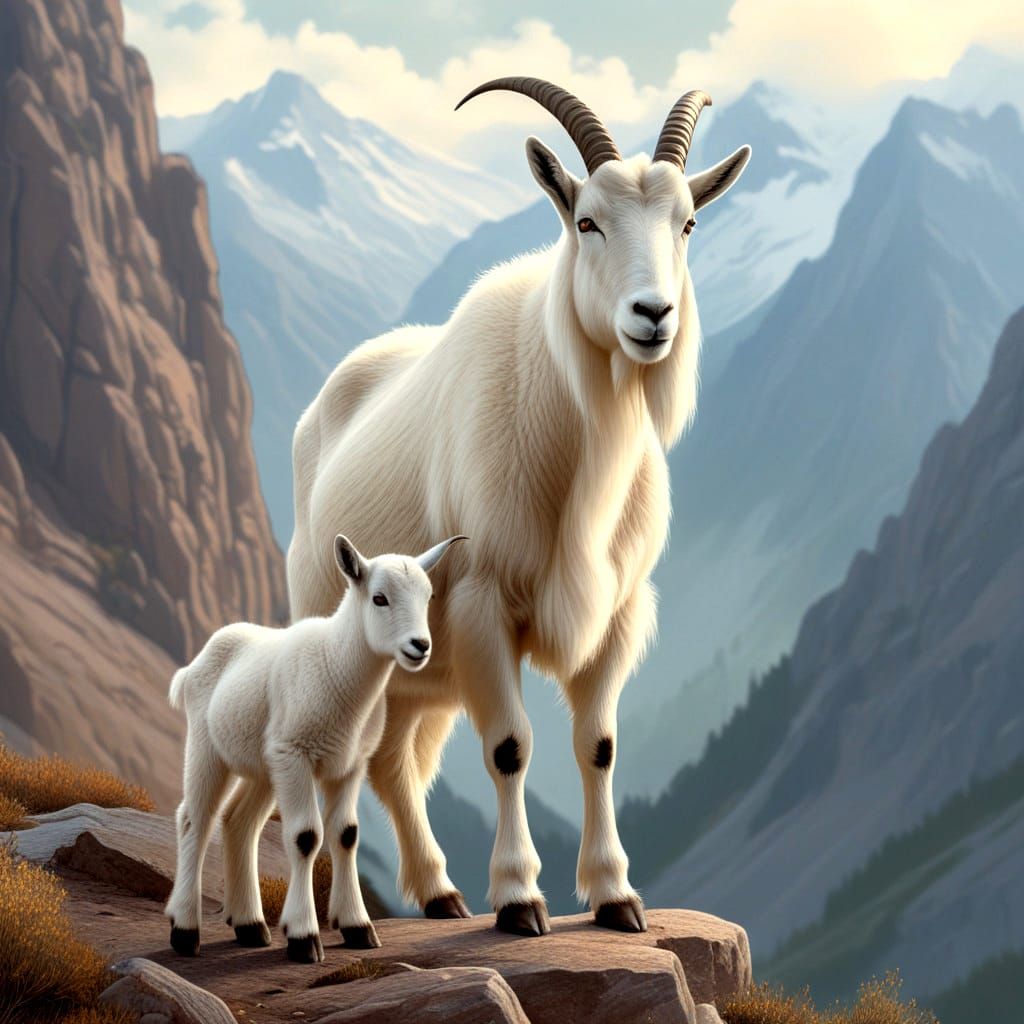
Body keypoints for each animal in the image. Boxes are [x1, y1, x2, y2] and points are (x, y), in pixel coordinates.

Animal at [165, 534, 465, 962]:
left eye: (428, 596)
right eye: (379, 598)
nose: (420, 646)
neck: (336, 663)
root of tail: (193, 665)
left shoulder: (350, 764)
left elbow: (346, 834)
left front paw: (358, 928)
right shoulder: (296, 756)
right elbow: (306, 837)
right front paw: (304, 937)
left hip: (264, 764)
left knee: (239, 822)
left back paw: (250, 926)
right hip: (209, 748)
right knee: (195, 819)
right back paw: (185, 930)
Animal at [287, 78, 751, 936]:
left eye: (688, 223)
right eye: (586, 220)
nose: (653, 316)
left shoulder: (619, 611)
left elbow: (598, 745)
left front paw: (616, 896)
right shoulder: (481, 602)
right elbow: (509, 746)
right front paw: (520, 900)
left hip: (421, 669)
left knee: (396, 759)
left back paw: (438, 892)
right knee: (357, 756)